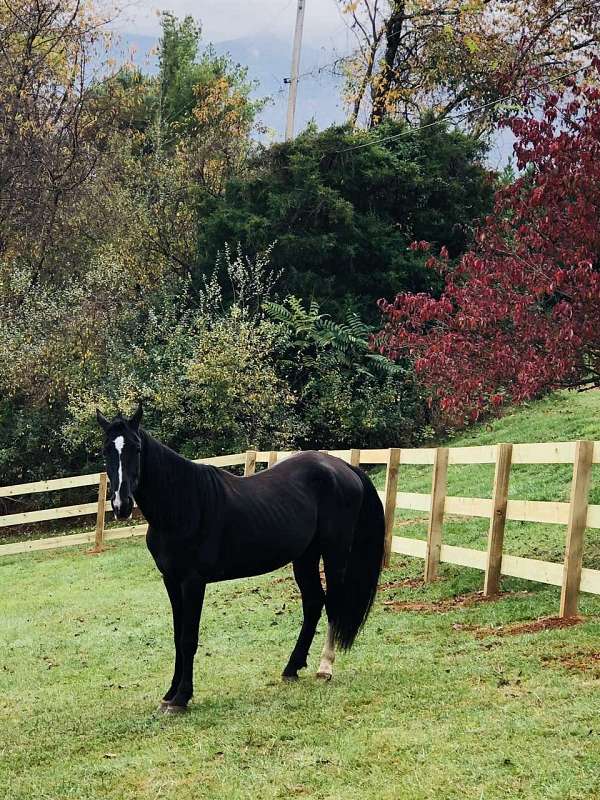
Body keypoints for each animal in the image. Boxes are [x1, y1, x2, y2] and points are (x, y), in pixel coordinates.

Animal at [94, 406, 384, 712]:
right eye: (106, 450)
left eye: (136, 448)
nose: (121, 505)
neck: (182, 506)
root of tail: (343, 467)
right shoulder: (171, 581)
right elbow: (176, 635)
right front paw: (170, 694)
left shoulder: (193, 582)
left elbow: (188, 638)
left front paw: (182, 697)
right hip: (305, 557)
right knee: (313, 604)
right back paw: (291, 668)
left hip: (334, 553)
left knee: (333, 604)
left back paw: (324, 668)